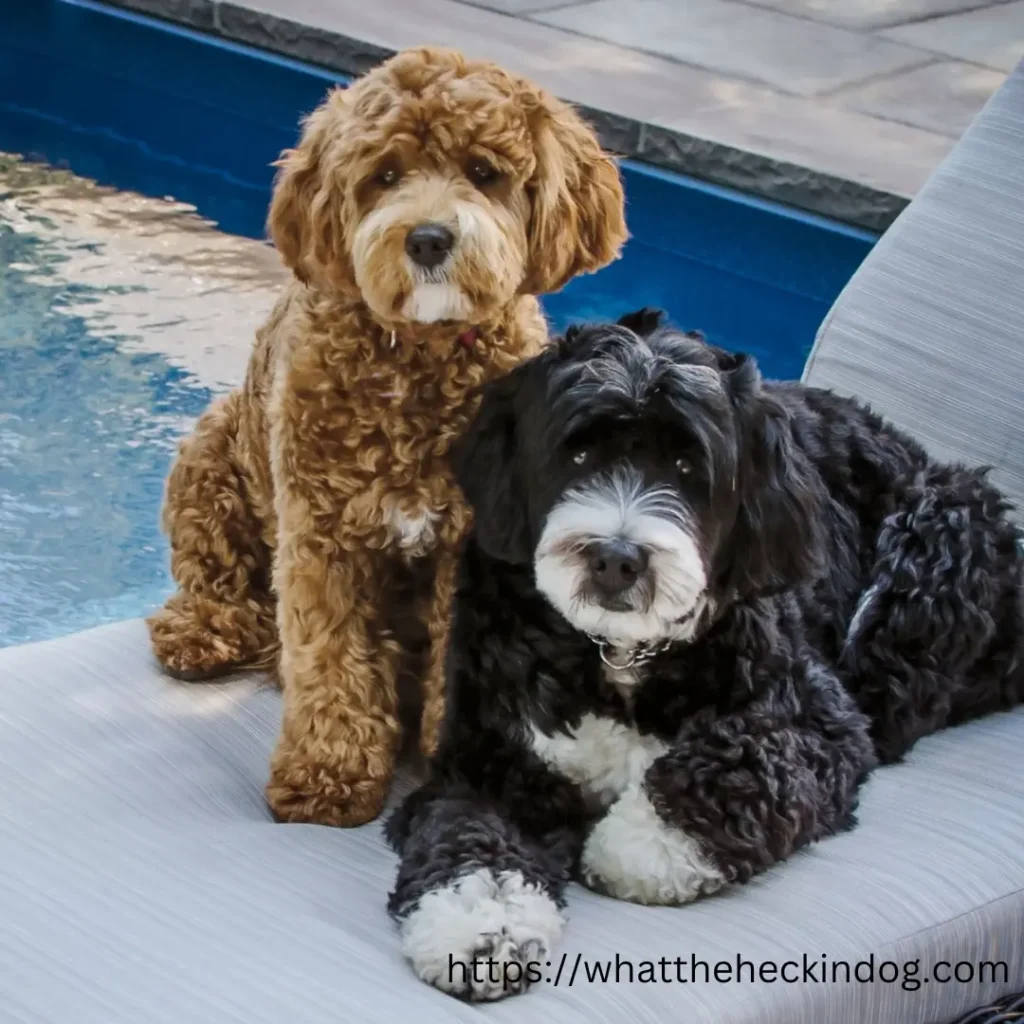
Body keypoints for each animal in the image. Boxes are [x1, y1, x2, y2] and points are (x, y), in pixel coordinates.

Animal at [143, 49, 622, 831]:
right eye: (385, 175)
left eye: (484, 171)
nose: (428, 238)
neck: (419, 359)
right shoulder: (321, 535)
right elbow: (330, 658)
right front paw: (329, 776)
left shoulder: (475, 545)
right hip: (209, 457)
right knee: (217, 582)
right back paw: (205, 630)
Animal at [385, 309, 1024, 999]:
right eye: (576, 453)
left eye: (687, 466)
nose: (616, 558)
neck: (616, 654)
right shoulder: (488, 751)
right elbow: (468, 832)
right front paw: (480, 926)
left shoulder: (815, 719)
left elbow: (728, 767)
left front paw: (627, 846)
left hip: (938, 537)